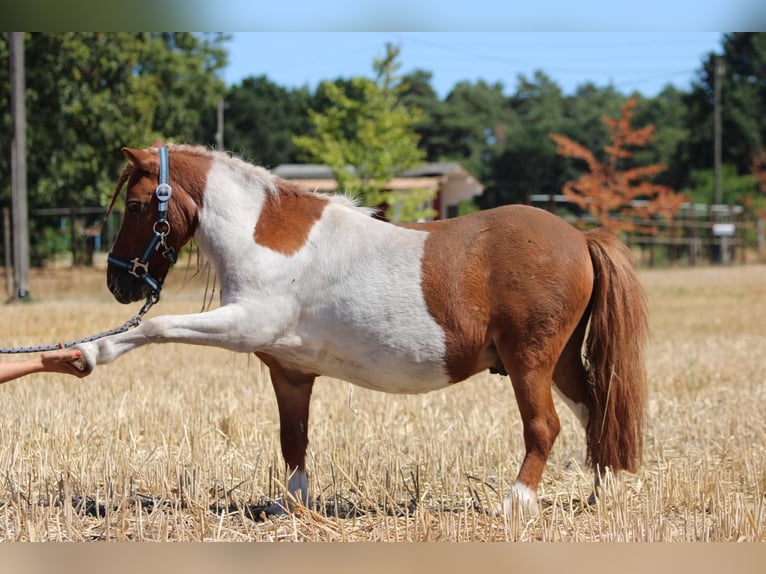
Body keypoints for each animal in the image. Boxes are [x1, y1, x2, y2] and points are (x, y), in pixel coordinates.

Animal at [77, 143, 648, 517]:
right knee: (595, 414)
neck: (266, 238)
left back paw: (517, 503)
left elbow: (158, 325)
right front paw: (293, 506)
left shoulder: (244, 324)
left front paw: (89, 353)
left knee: (544, 427)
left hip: (530, 361)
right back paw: (602, 495)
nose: (119, 282)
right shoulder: (290, 371)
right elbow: (294, 438)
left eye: (135, 205)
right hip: (560, 362)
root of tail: (580, 237)